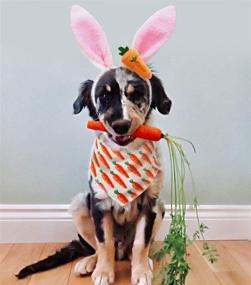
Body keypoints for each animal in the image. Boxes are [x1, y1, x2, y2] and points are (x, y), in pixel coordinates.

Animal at [16, 4, 176, 284]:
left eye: (137, 95)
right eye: (103, 96)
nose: (120, 125)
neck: (125, 153)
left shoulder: (150, 204)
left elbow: (141, 243)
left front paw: (141, 272)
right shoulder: (99, 204)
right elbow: (104, 243)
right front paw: (103, 271)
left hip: (161, 207)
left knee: (131, 248)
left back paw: (143, 262)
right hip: (80, 203)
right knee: (98, 246)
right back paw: (90, 262)